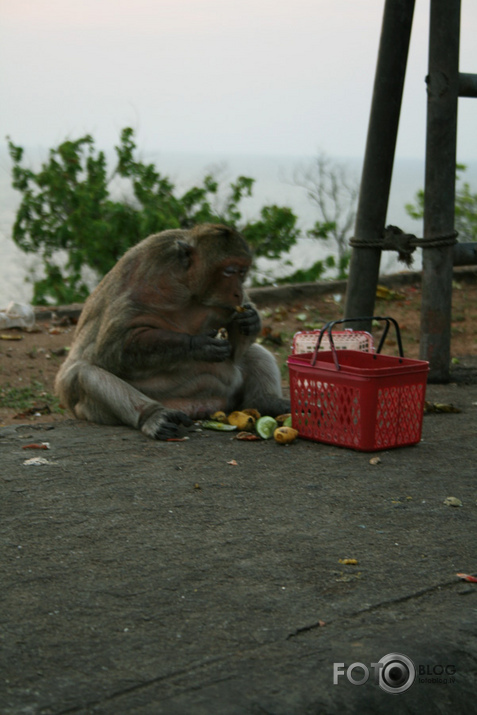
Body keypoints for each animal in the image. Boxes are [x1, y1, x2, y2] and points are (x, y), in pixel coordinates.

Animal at [54, 224, 288, 440]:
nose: (238, 292)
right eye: (229, 271)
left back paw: (264, 402)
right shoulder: (145, 275)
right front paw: (198, 345)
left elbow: (236, 352)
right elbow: (113, 349)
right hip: (85, 406)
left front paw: (251, 319)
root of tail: (195, 408)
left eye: (242, 272)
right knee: (84, 373)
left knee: (253, 353)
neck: (189, 291)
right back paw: (154, 415)